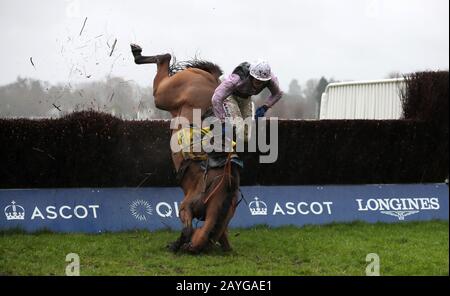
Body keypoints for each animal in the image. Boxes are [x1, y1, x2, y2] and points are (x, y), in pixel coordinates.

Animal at [131, 43, 243, 252]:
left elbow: (219, 235)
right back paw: (138, 53)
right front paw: (177, 244)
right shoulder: (185, 207)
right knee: (164, 58)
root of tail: (209, 78)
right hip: (163, 95)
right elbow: (188, 229)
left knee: (164, 58)